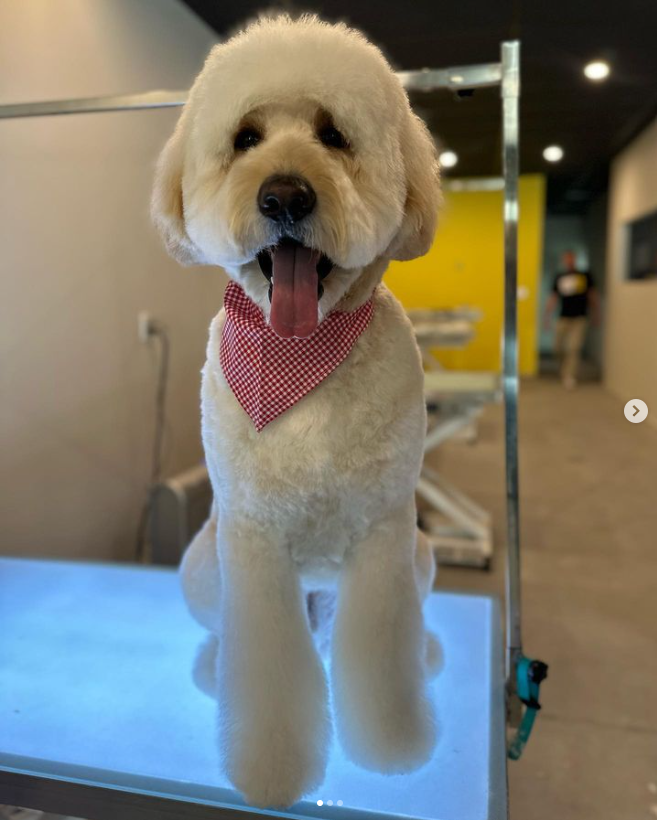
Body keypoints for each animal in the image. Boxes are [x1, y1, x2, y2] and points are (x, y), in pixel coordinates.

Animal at [151, 11, 440, 808]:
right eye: (246, 138)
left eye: (333, 134)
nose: (283, 195)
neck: (300, 362)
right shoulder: (253, 541)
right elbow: (267, 674)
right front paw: (271, 770)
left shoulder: (383, 535)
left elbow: (381, 656)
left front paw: (392, 746)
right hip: (201, 567)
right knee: (229, 636)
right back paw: (211, 668)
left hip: (420, 556)